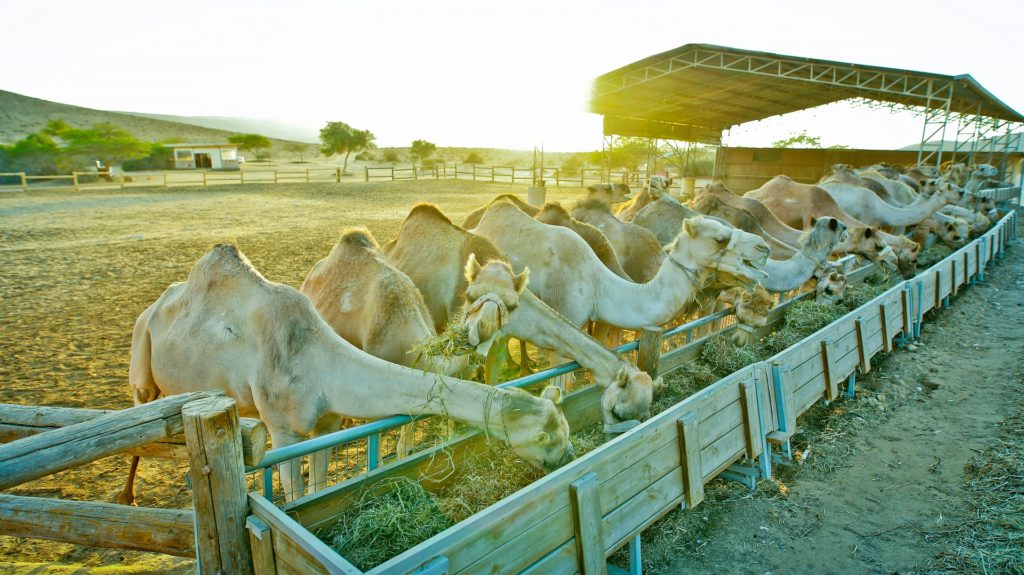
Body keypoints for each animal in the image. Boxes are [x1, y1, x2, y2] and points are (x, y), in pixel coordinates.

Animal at [120, 242, 573, 501]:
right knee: (137, 426)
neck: (320, 363)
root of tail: (154, 306)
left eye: (513, 304)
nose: (567, 455)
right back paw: (128, 496)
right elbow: (294, 492)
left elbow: (318, 484)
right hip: (142, 352)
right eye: (547, 435)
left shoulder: (326, 422)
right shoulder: (282, 430)